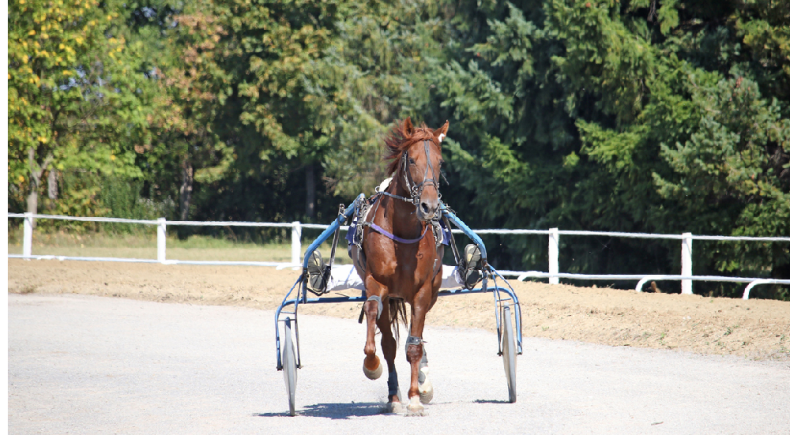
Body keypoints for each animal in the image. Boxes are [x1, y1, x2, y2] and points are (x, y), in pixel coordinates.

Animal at [356, 116, 448, 416]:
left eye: (440, 162)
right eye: (412, 160)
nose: (429, 206)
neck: (404, 234)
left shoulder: (422, 292)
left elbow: (415, 346)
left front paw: (416, 397)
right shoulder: (377, 283)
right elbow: (382, 337)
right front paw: (372, 366)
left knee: (416, 338)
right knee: (389, 340)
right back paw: (393, 396)